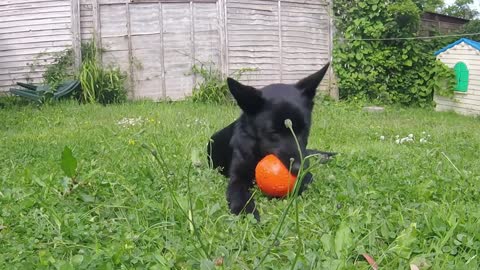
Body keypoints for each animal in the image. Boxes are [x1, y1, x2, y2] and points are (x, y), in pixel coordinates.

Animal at [206, 62, 334, 220]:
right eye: (273, 132)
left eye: (304, 129)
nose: (298, 168)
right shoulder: (237, 178)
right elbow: (239, 194)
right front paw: (246, 211)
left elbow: (308, 179)